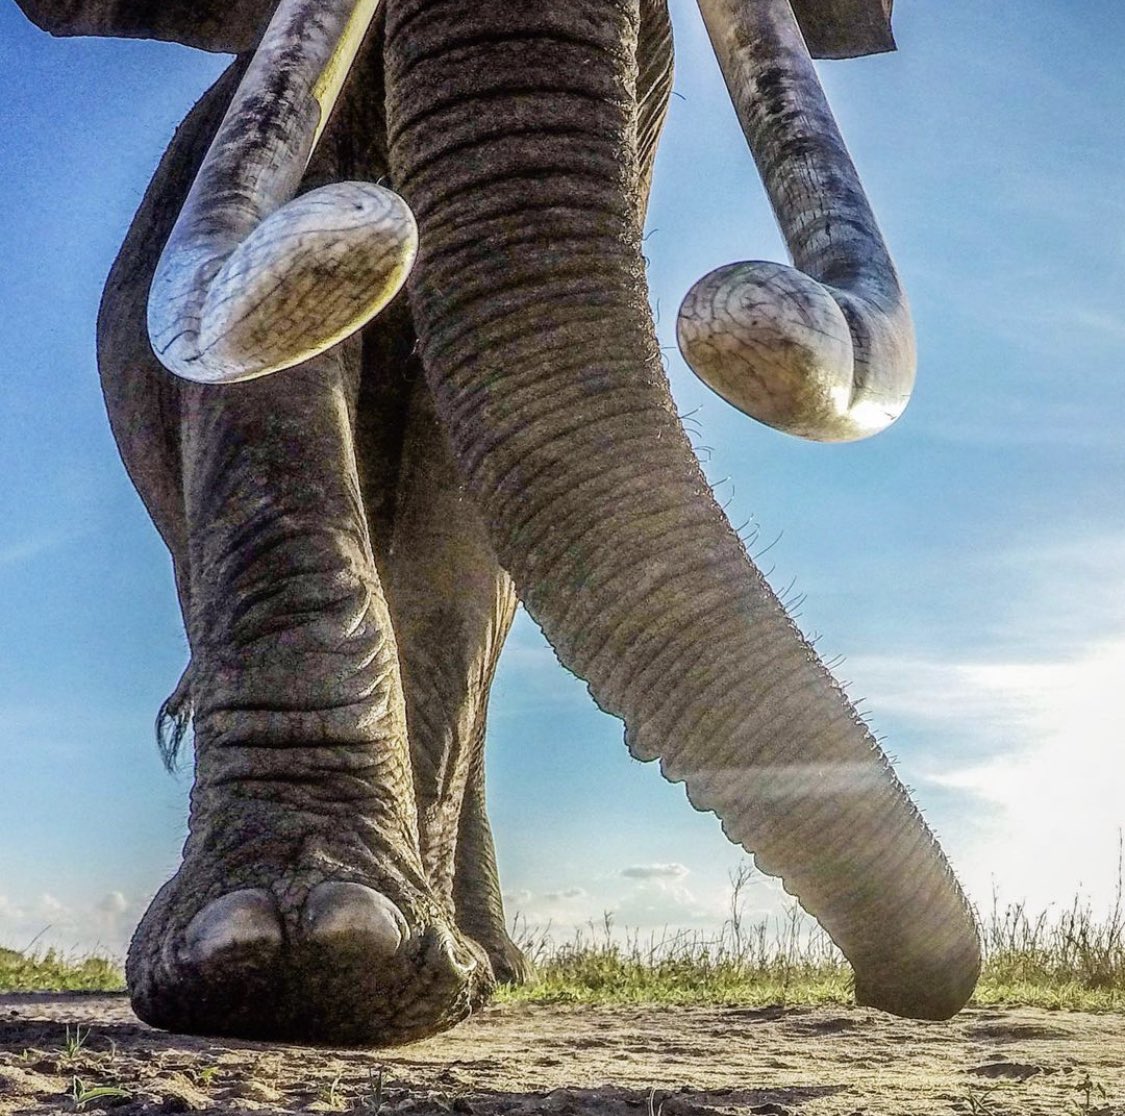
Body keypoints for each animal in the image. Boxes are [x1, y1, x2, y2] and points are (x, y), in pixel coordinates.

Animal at [14, 0, 980, 1045]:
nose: (894, 991)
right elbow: (274, 353)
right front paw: (289, 949)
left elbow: (453, 487)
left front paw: (372, 961)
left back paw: (490, 960)